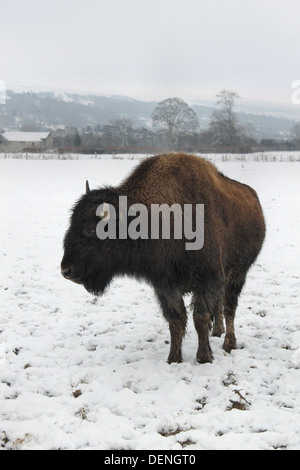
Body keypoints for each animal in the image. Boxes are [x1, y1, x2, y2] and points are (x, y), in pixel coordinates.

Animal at [60, 154, 264, 364]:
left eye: (91, 229)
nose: (66, 270)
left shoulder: (208, 279)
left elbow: (200, 318)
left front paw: (204, 357)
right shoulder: (166, 285)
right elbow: (176, 320)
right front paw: (174, 358)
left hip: (238, 273)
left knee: (230, 305)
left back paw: (229, 343)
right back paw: (217, 331)